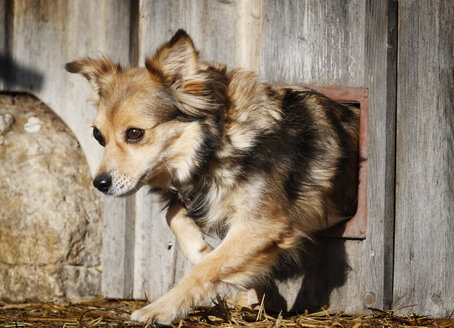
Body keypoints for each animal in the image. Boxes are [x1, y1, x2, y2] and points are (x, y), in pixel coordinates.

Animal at [65, 29, 360, 324]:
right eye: (98, 136)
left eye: (135, 133)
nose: (100, 184)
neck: (222, 140)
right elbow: (175, 217)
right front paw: (202, 251)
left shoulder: (264, 225)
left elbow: (204, 269)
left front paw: (160, 308)